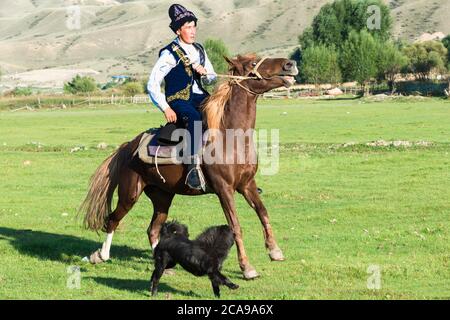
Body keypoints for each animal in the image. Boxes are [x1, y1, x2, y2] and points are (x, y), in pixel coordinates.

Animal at [81, 53, 298, 278]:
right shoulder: (224, 189)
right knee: (113, 220)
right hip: (129, 194)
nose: (290, 64)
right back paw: (100, 255)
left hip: (162, 197)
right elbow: (235, 226)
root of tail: (128, 147)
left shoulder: (247, 184)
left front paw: (275, 251)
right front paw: (247, 267)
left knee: (153, 229)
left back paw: (163, 264)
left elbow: (263, 212)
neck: (230, 137)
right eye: (253, 63)